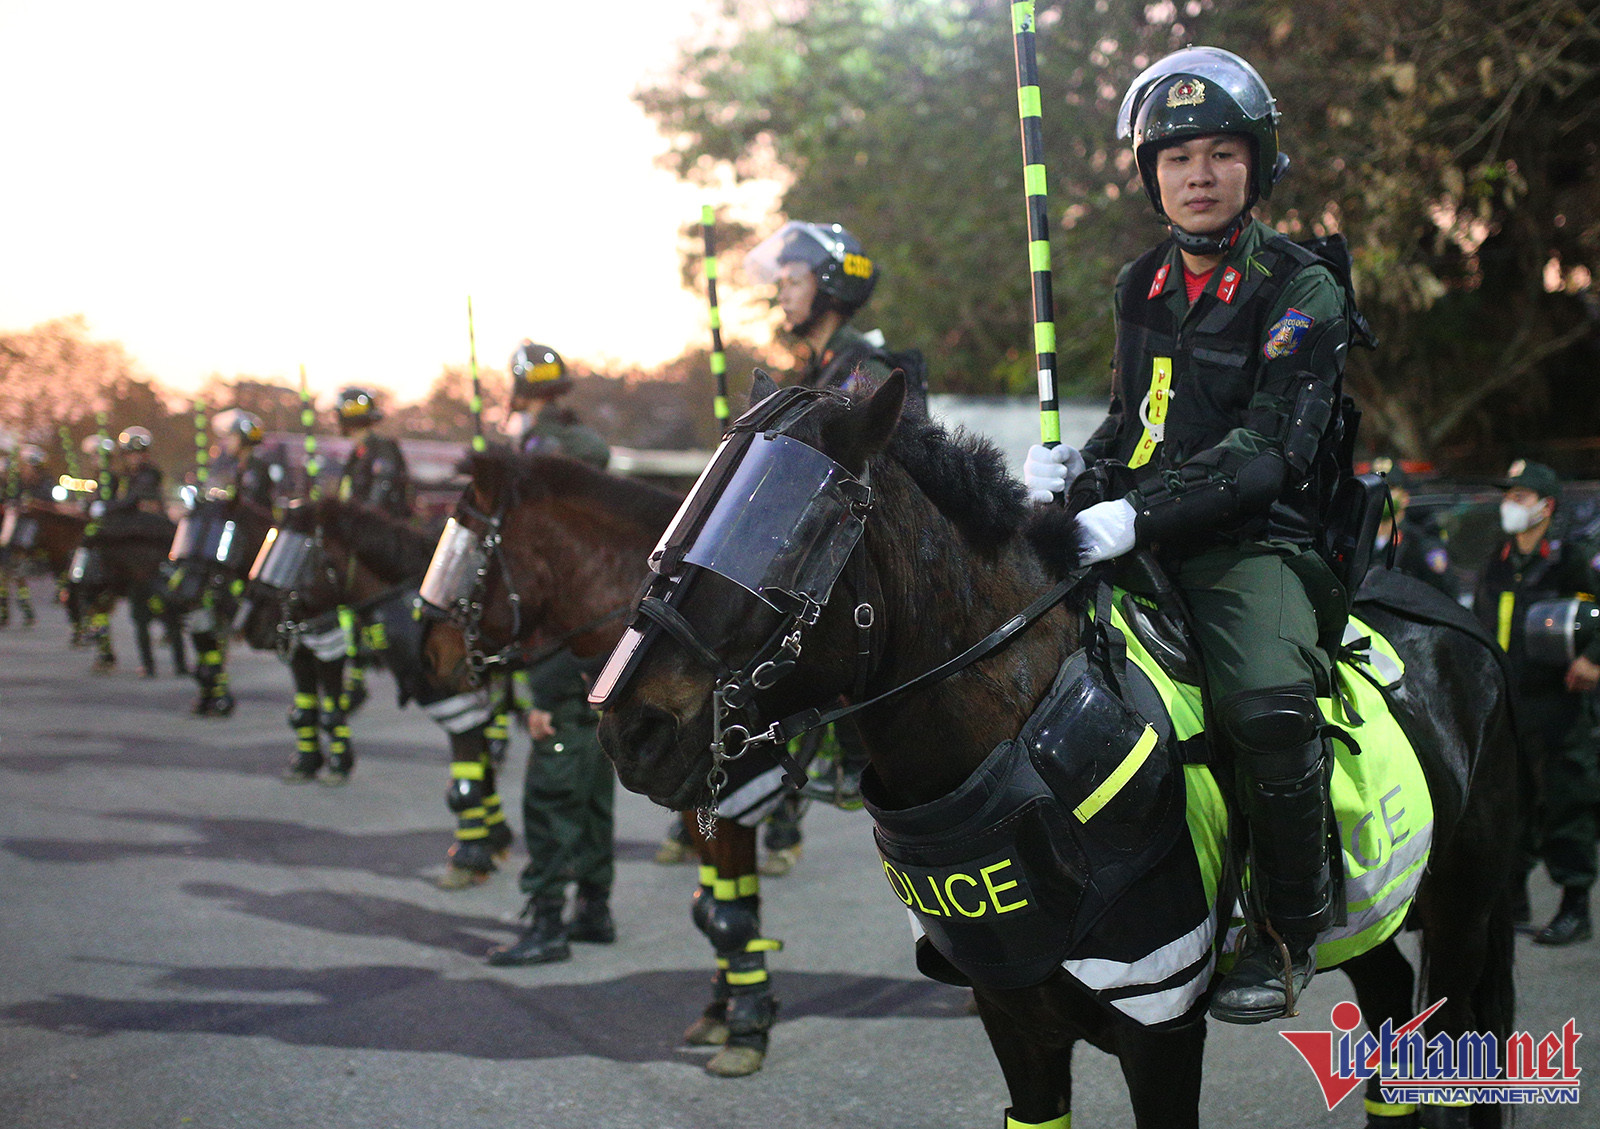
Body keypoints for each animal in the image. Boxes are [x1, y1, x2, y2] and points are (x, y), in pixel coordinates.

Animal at [422, 447, 806, 1074]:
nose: (429, 652)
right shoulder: (701, 803)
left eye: (463, 552)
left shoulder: (735, 797)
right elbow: (717, 907)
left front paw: (747, 1024)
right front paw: (727, 1009)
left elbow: (732, 915)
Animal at [595, 375, 1516, 1125]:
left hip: (1463, 907)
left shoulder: (1160, 1024)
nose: (627, 727)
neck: (1015, 734)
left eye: (782, 534)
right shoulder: (1016, 1021)